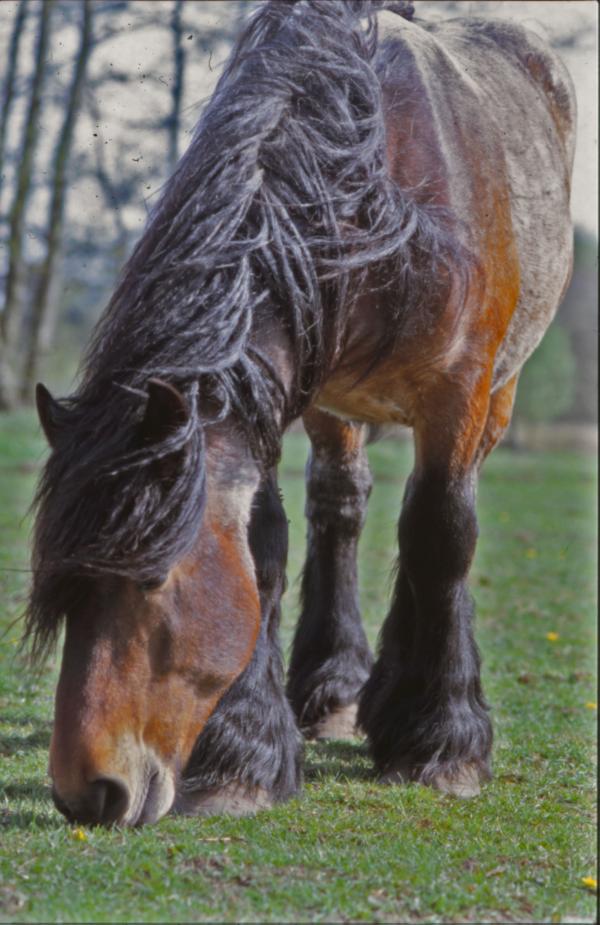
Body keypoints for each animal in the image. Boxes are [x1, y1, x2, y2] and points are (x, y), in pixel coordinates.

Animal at [26, 0, 575, 825]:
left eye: (152, 580)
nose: (88, 791)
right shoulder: (283, 394)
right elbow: (266, 543)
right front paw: (243, 757)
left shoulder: (460, 392)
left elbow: (444, 536)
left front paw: (445, 744)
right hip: (335, 409)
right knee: (341, 507)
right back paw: (340, 690)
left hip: (495, 399)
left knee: (430, 519)